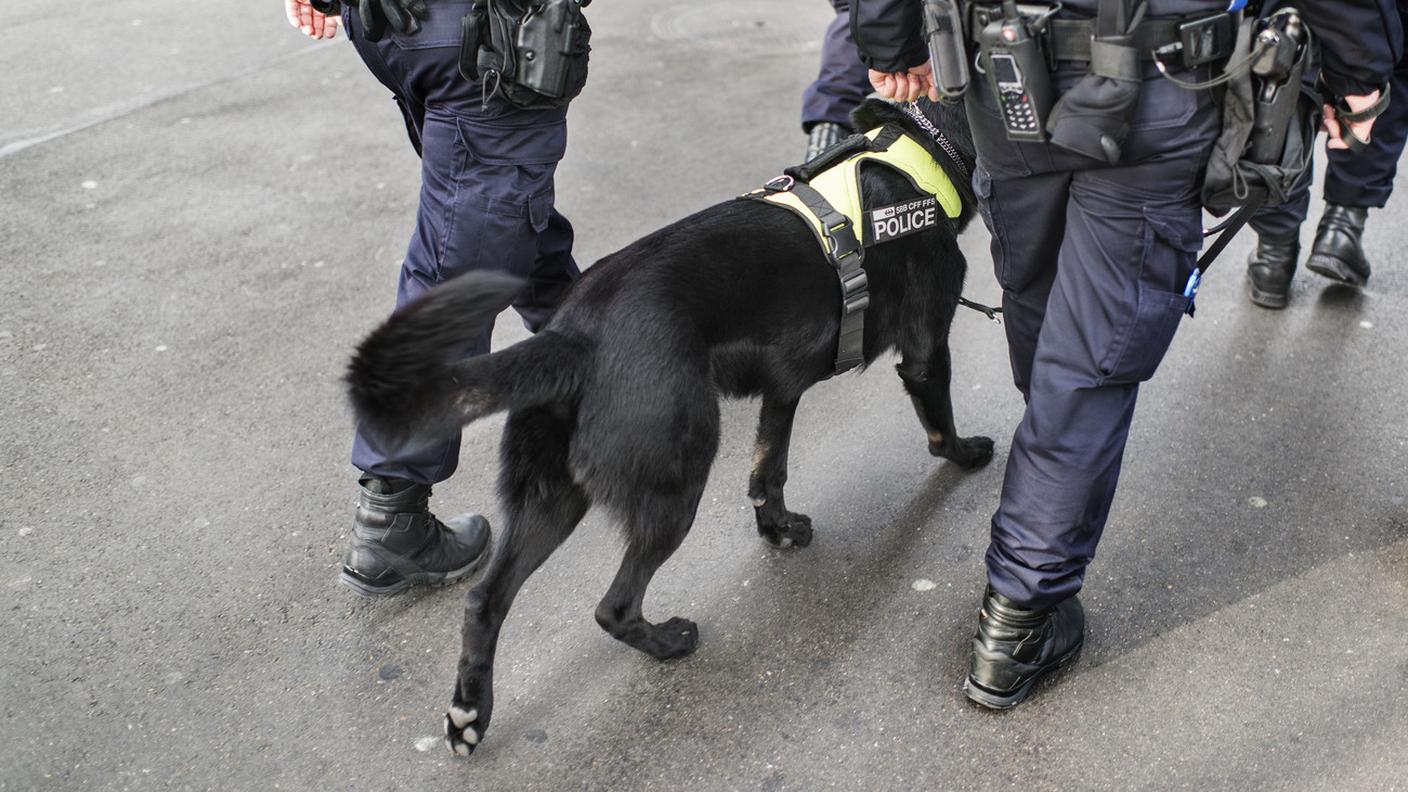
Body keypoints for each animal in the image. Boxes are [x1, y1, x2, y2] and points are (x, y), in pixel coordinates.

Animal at [347, 97, 996, 749]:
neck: (922, 148)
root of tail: (574, 335)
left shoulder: (782, 392)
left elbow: (769, 471)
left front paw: (778, 528)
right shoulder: (923, 351)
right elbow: (938, 425)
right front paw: (968, 453)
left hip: (552, 498)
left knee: (486, 601)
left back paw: (469, 713)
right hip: (674, 483)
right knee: (613, 606)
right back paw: (665, 643)